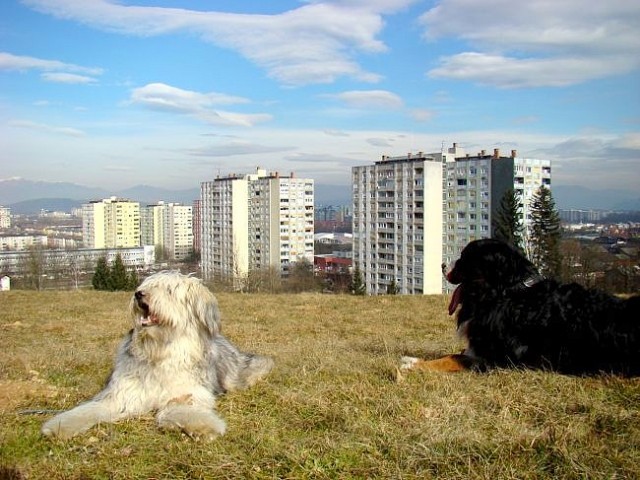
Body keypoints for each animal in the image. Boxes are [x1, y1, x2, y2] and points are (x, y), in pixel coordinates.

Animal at [42, 272, 272, 440]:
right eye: (145, 284)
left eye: (169, 290)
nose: (138, 294)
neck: (159, 350)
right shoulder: (123, 393)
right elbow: (90, 409)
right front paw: (58, 426)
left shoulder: (187, 392)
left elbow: (179, 409)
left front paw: (204, 427)